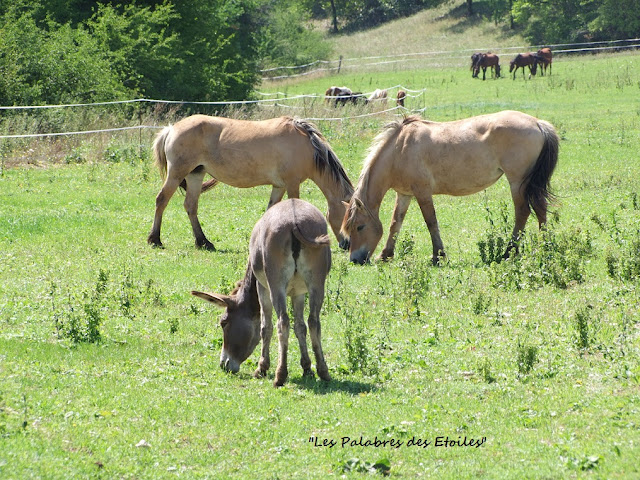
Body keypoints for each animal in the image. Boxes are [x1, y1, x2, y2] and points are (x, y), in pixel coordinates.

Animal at [148, 114, 352, 249]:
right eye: (349, 219)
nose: (347, 245)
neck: (307, 145)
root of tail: (171, 129)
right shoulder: (292, 184)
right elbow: (295, 212)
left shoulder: (279, 186)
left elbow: (271, 210)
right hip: (176, 174)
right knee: (161, 200)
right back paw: (155, 239)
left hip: (195, 175)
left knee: (190, 206)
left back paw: (203, 242)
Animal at [342, 110, 556, 264]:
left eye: (360, 226)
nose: (355, 260)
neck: (400, 149)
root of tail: (538, 123)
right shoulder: (404, 194)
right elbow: (396, 223)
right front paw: (386, 255)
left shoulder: (422, 192)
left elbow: (431, 222)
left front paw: (438, 256)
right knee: (541, 209)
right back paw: (544, 247)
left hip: (517, 182)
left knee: (522, 212)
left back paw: (509, 252)